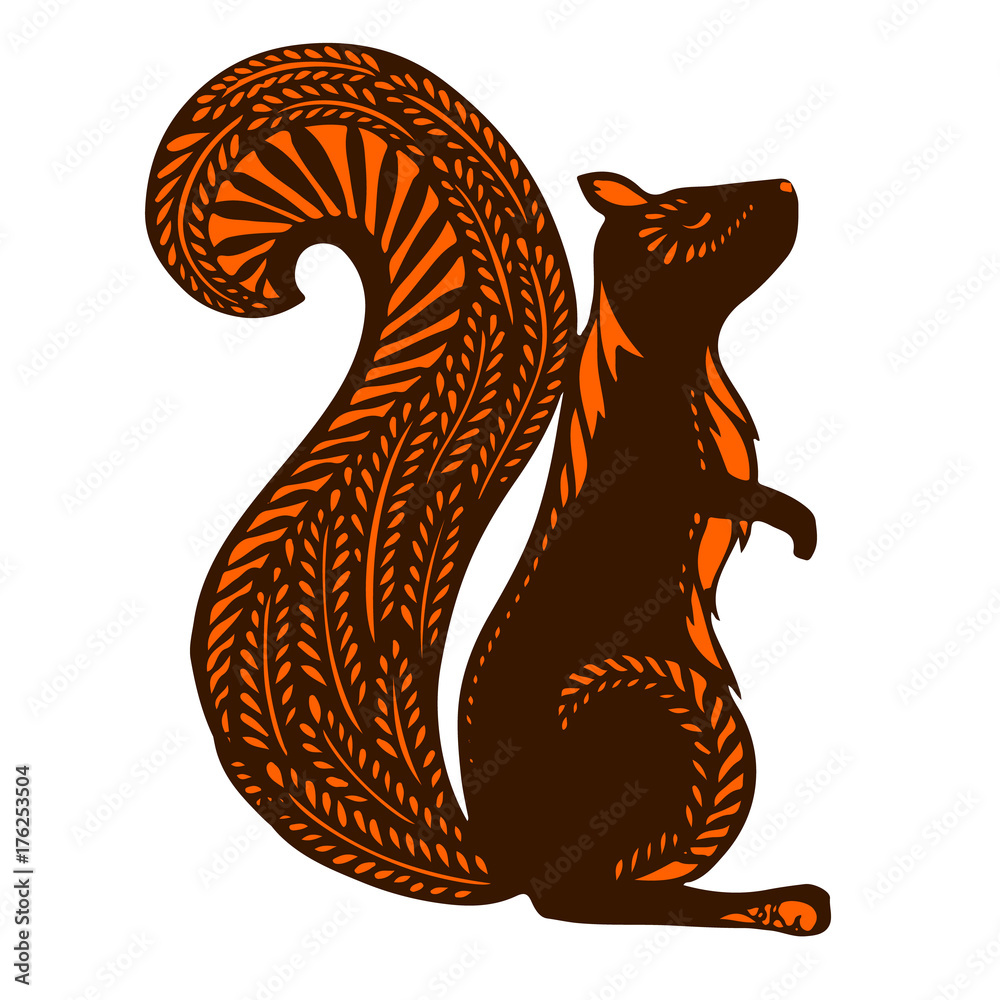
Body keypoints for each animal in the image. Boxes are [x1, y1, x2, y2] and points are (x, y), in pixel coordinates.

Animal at [146, 43, 829, 935]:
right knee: (586, 905)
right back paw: (764, 905)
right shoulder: (662, 474)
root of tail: (509, 862)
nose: (783, 188)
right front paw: (796, 523)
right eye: (686, 216)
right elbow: (721, 498)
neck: (674, 359)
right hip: (652, 711)